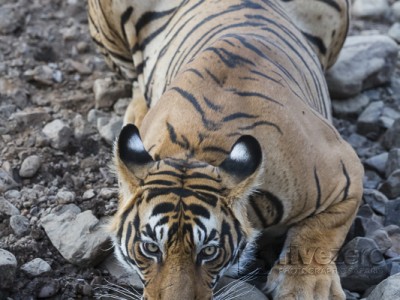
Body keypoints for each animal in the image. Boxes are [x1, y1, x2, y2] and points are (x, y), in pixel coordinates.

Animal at [87, 0, 362, 298]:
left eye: (209, 252)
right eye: (150, 248)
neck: (194, 151)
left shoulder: (345, 172)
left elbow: (320, 232)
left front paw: (306, 288)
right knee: (134, 79)